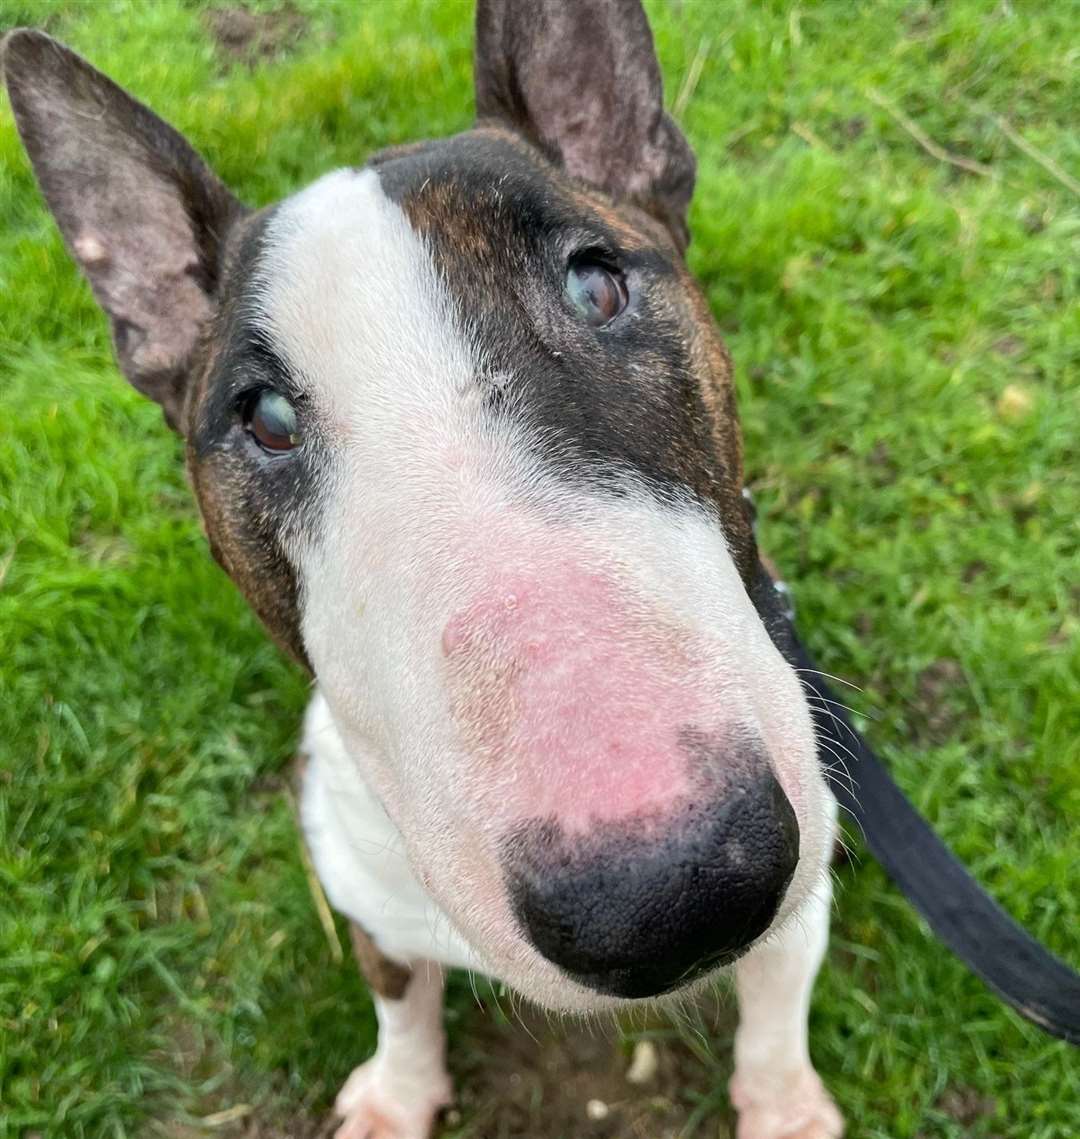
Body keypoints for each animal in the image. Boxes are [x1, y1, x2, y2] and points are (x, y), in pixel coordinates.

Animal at [4, 2, 847, 1139]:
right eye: (265, 416)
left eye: (595, 281)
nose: (671, 892)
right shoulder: (367, 893)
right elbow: (399, 997)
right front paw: (397, 1095)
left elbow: (779, 992)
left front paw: (785, 1103)